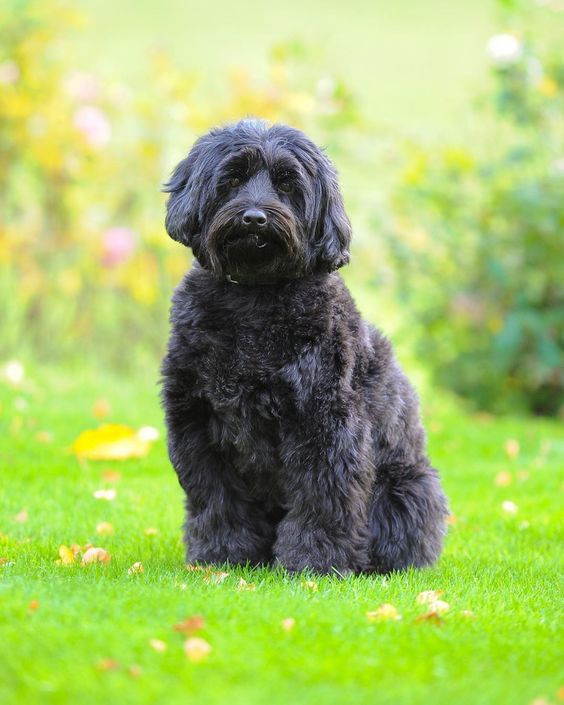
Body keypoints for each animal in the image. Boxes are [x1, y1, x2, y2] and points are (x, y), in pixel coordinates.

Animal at [161, 119, 448, 572]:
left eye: (287, 184)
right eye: (233, 179)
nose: (254, 218)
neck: (255, 296)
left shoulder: (325, 421)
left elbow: (324, 495)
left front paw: (315, 562)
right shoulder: (196, 423)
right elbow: (216, 498)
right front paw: (222, 555)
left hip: (405, 489)